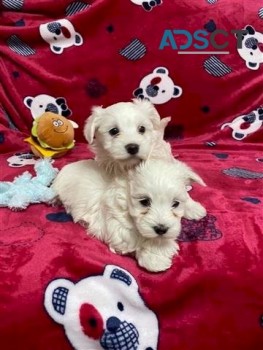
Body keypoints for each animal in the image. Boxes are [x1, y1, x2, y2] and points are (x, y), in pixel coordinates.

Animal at [52, 158, 207, 270]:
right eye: (144, 201)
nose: (161, 229)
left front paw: (194, 208)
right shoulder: (117, 226)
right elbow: (138, 239)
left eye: (175, 204)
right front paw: (156, 257)